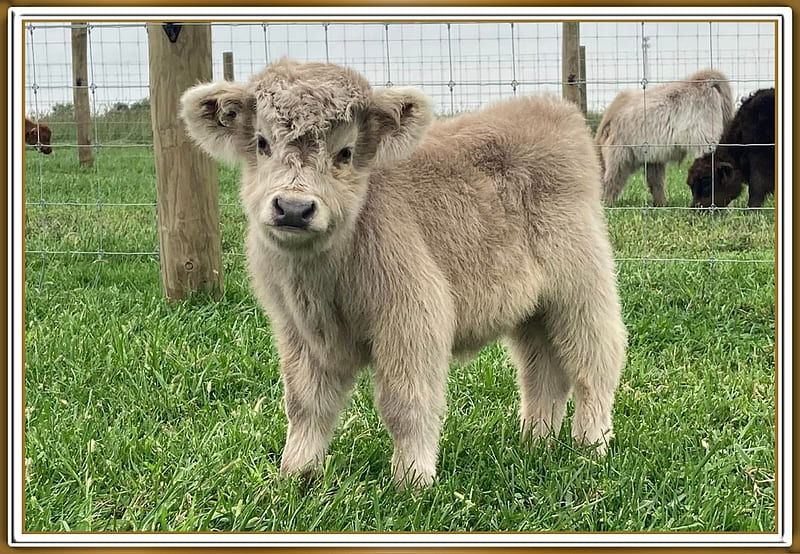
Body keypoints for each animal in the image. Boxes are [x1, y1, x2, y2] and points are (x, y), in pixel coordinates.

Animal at [178, 58, 628, 486]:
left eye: (345, 152)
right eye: (262, 143)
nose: (293, 208)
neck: (323, 283)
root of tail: (552, 109)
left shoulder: (412, 320)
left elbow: (406, 404)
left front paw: (412, 480)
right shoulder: (299, 334)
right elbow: (306, 405)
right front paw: (297, 475)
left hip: (582, 291)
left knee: (595, 367)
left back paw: (592, 446)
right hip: (533, 311)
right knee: (543, 373)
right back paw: (536, 443)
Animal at [592, 68, 732, 206]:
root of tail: (705, 81)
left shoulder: (620, 155)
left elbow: (612, 180)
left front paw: (607, 203)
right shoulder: (653, 159)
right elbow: (656, 182)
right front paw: (661, 203)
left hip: (705, 142)